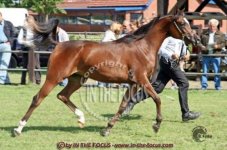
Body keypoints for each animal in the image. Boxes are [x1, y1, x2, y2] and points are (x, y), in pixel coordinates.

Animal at [12, 9, 200, 137]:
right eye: (182, 23)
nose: (196, 39)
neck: (143, 47)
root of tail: (59, 44)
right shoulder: (142, 80)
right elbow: (157, 98)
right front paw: (156, 125)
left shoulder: (133, 83)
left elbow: (123, 105)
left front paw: (106, 129)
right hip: (54, 77)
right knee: (38, 98)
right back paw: (18, 128)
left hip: (76, 79)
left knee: (63, 95)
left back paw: (81, 118)